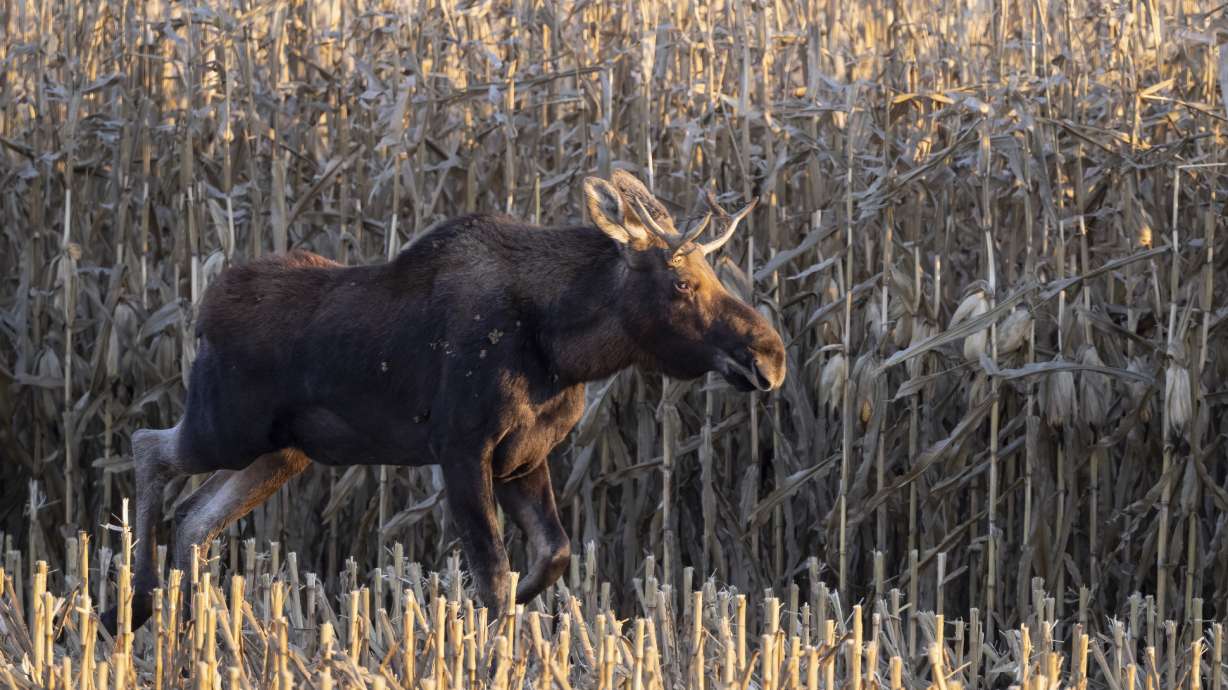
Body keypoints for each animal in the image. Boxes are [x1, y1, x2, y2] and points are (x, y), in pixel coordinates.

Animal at [101, 169, 787, 633]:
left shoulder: (524, 458)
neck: (562, 347)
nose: (771, 356)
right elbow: (494, 574)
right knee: (148, 446)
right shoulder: (460, 447)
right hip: (226, 426)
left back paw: (185, 624)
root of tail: (202, 312)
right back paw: (135, 605)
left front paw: (503, 614)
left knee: (195, 517)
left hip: (284, 452)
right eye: (681, 282)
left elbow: (553, 555)